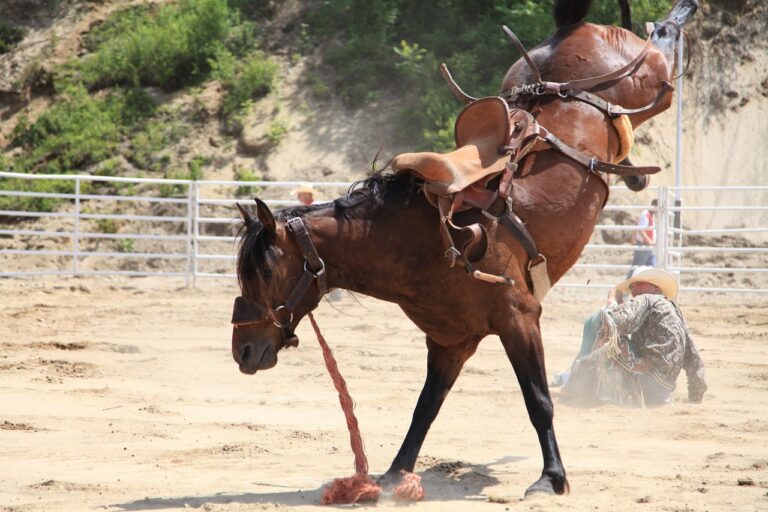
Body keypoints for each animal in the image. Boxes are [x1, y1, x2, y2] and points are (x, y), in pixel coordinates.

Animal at [226, 0, 696, 498]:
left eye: (266, 271)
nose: (243, 352)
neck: (422, 241)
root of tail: (572, 31)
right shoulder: (450, 341)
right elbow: (425, 407)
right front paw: (395, 474)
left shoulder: (520, 319)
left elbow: (538, 400)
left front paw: (552, 478)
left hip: (644, 80)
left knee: (662, 51)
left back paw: (679, 16)